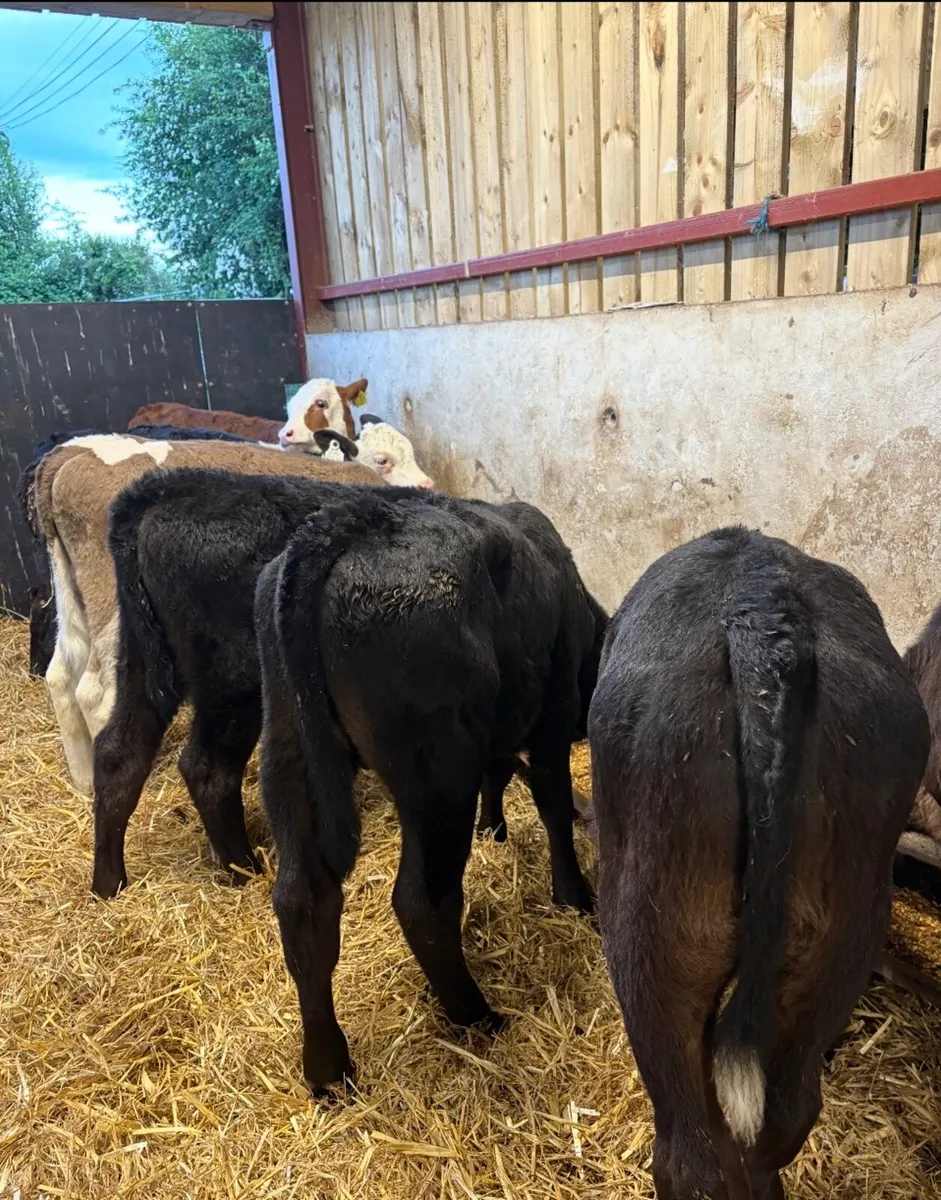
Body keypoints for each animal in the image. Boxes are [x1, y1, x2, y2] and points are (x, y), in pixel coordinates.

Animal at [253, 487, 607, 1091]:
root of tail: (347, 523)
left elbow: (500, 774)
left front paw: (495, 830)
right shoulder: (552, 714)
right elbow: (554, 804)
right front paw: (574, 895)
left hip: (287, 750)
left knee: (304, 902)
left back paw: (328, 1069)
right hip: (437, 773)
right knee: (423, 900)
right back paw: (477, 1015)